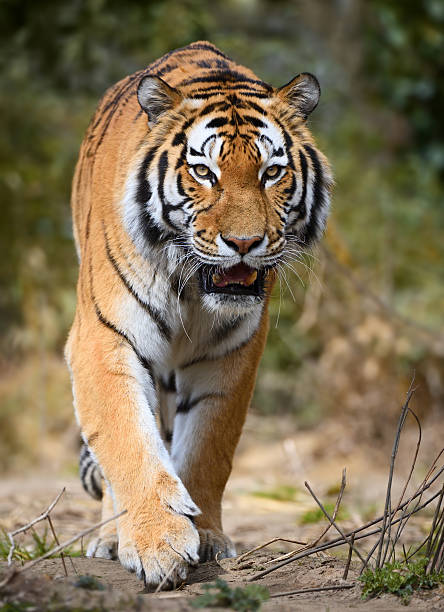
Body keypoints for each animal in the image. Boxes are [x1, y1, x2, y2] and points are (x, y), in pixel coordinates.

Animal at [65, 41, 330, 588]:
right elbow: (128, 441)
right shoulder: (103, 339)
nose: (245, 243)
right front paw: (158, 544)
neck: (189, 288)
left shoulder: (231, 354)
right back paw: (110, 537)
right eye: (204, 173)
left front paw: (205, 536)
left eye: (272, 173)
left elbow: (209, 449)